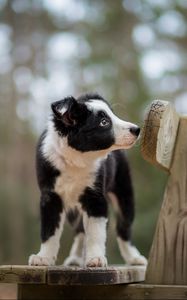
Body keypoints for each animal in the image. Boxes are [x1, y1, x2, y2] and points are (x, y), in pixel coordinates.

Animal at [28, 94, 147, 268]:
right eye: (104, 122)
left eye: (113, 115)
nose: (137, 129)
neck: (76, 159)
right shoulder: (50, 196)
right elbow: (49, 230)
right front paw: (43, 258)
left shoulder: (95, 197)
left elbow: (96, 232)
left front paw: (96, 258)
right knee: (80, 231)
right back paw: (75, 258)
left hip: (123, 191)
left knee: (123, 227)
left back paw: (134, 258)